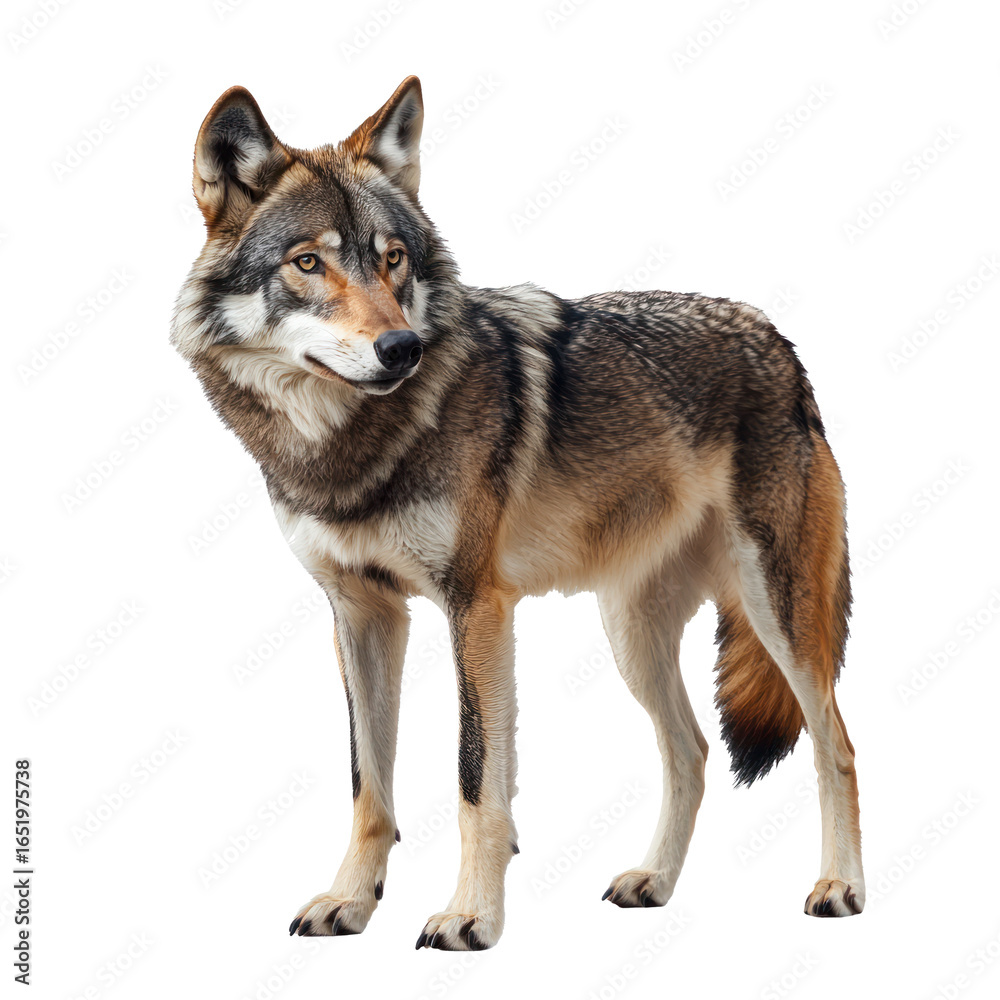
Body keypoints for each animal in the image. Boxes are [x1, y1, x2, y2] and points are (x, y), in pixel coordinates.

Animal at [171, 76, 864, 950]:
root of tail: (777, 339)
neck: (348, 451)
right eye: (308, 263)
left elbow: (475, 777)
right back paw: (654, 882)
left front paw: (471, 915)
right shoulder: (361, 613)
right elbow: (369, 782)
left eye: (393, 260)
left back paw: (840, 887)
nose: (402, 349)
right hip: (631, 635)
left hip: (779, 615)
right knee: (693, 751)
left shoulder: (476, 608)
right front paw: (350, 902)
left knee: (836, 744)